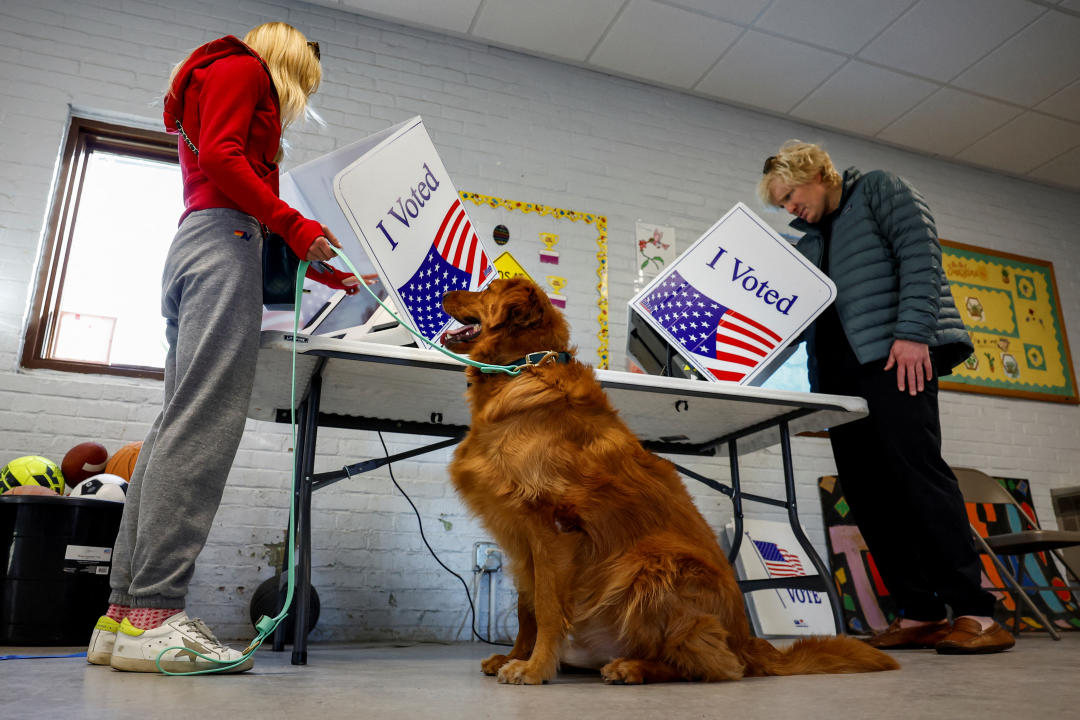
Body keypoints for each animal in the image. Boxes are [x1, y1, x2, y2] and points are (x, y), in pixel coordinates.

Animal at [438, 278, 894, 686]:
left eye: (487, 289)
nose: (443, 290)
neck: (521, 369)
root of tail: (748, 642)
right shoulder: (520, 537)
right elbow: (526, 608)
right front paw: (516, 656)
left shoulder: (552, 526)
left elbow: (548, 608)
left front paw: (533, 669)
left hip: (651, 566)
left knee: (715, 666)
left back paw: (633, 669)